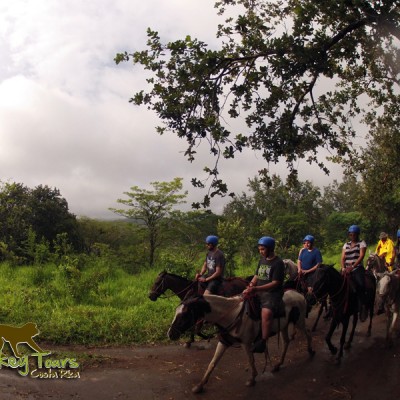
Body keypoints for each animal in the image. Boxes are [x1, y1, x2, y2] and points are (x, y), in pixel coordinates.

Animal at [167, 290, 314, 394]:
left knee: (307, 334)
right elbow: (212, 364)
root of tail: (299, 294)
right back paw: (278, 364)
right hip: (283, 326)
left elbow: (251, 360)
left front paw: (252, 379)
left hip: (299, 321)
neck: (231, 315)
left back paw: (311, 351)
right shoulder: (224, 342)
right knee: (286, 342)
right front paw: (199, 386)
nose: (170, 334)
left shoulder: (246, 343)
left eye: (184, 315)